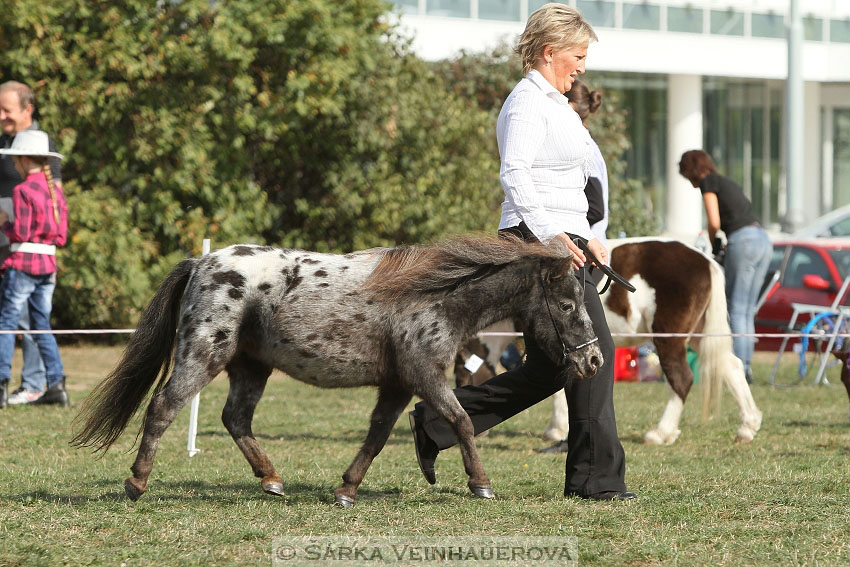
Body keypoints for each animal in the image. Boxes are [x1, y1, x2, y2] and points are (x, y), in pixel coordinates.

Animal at [74, 234, 604, 506]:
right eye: (566, 303)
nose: (594, 360)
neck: (435, 294)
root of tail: (202, 262)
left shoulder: (398, 385)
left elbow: (377, 435)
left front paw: (347, 489)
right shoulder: (427, 376)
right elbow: (462, 421)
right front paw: (481, 485)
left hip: (251, 366)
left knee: (235, 419)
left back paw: (272, 480)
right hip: (204, 354)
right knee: (163, 407)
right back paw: (136, 483)